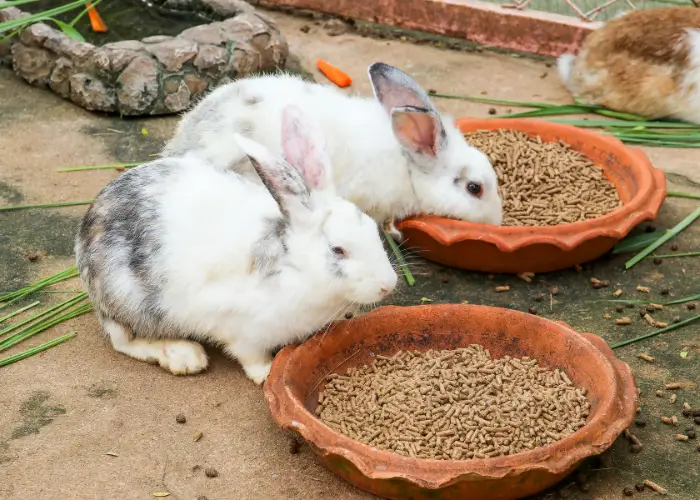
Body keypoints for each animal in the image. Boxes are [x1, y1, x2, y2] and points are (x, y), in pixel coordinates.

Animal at [75, 105, 400, 384]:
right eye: (338, 250)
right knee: (123, 341)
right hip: (129, 298)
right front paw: (266, 374)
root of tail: (85, 234)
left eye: (372, 229)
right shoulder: (243, 329)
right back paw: (184, 356)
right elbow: (250, 356)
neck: (294, 267)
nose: (388, 284)